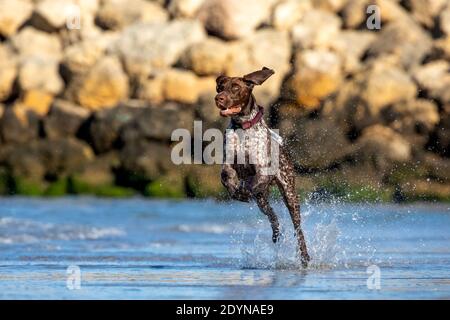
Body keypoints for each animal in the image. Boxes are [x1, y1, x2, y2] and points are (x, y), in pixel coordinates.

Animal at [215, 66, 310, 266]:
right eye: (220, 87)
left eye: (235, 87)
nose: (219, 98)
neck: (242, 128)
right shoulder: (228, 163)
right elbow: (226, 175)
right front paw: (236, 189)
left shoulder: (263, 171)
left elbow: (253, 183)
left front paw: (243, 191)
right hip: (263, 202)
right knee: (272, 215)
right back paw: (275, 231)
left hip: (290, 195)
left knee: (298, 229)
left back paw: (305, 256)